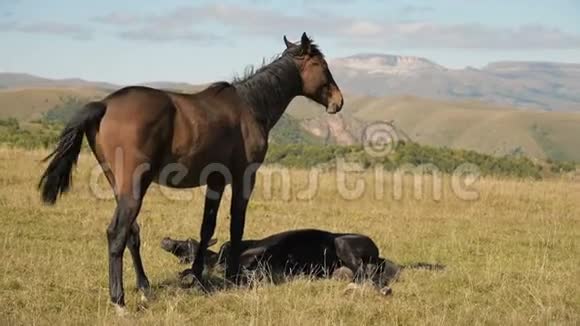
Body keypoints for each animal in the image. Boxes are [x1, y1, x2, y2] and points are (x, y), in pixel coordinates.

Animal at [38, 31, 342, 310]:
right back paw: (119, 300)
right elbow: (236, 225)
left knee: (132, 232)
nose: (338, 101)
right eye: (322, 65)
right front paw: (232, 276)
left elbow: (207, 228)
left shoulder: (216, 180)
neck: (250, 107)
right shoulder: (244, 177)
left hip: (118, 184)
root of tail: (104, 105)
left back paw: (144, 287)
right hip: (134, 185)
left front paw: (196, 276)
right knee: (117, 233)